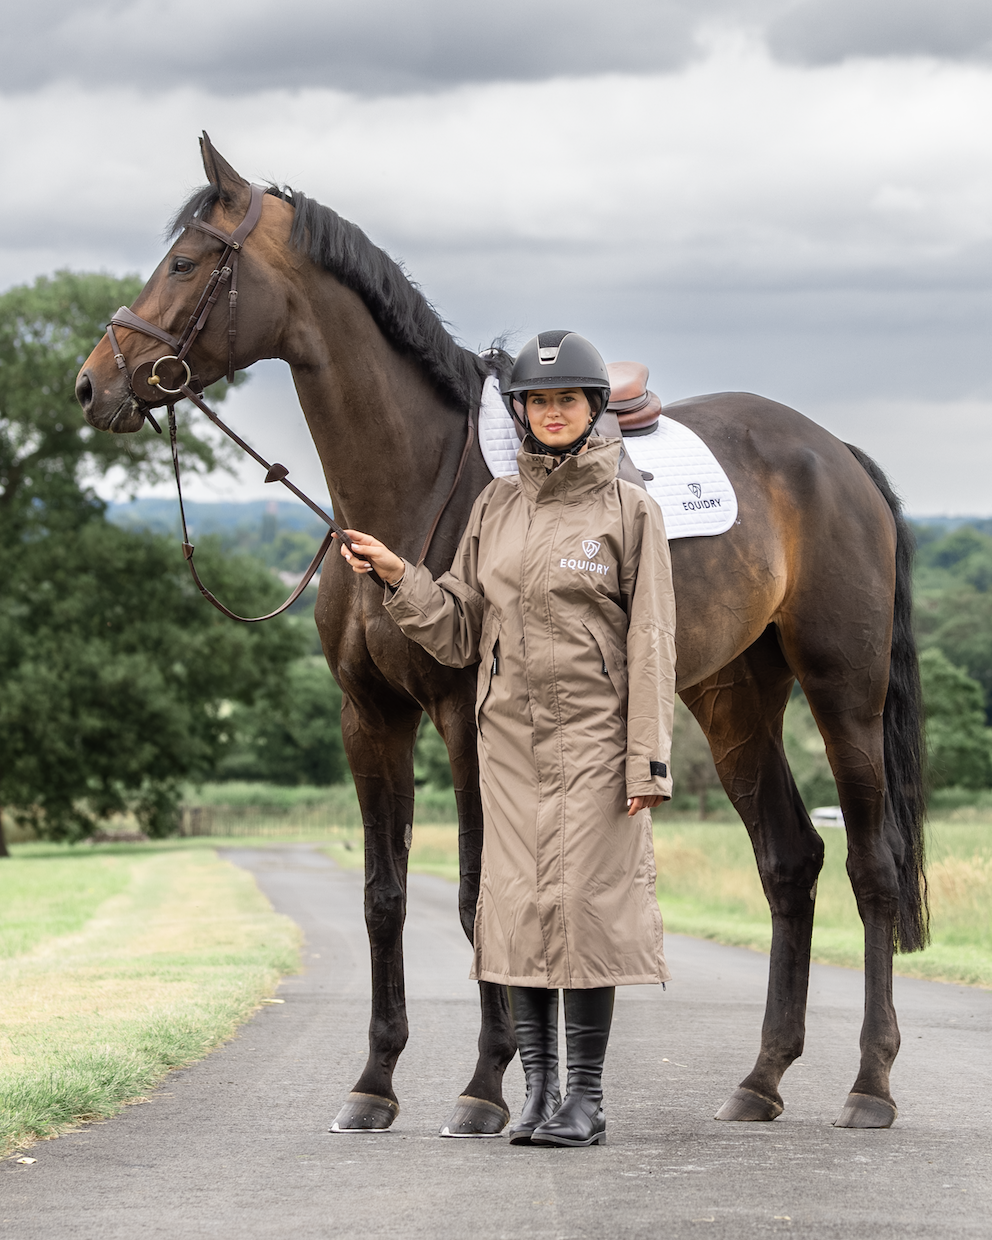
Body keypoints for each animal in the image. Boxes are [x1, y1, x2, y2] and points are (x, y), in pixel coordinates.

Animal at [76, 134, 927, 1135]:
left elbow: (480, 893)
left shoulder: (462, 720)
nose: (92, 383)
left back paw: (869, 1084)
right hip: (733, 699)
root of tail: (835, 456)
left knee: (873, 868)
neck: (411, 486)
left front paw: (486, 1086)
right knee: (791, 863)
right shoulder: (370, 719)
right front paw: (375, 1082)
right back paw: (760, 1081)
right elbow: (385, 897)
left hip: (842, 692)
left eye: (186, 261)